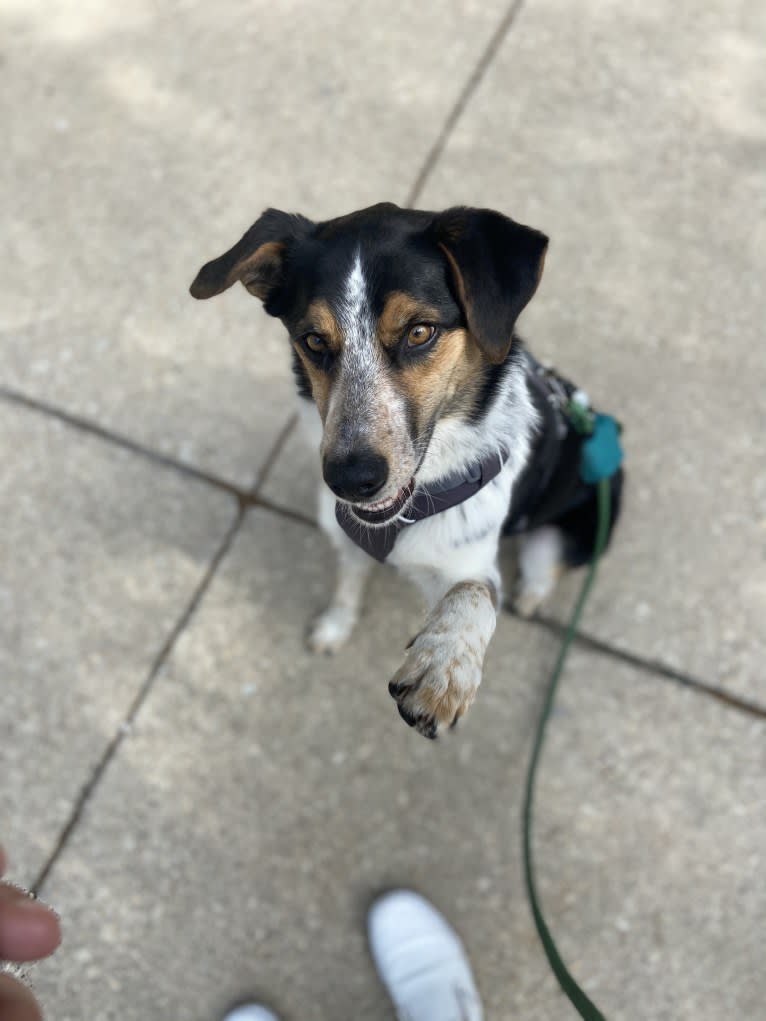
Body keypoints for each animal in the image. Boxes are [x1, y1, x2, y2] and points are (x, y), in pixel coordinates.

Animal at [190, 203, 625, 739]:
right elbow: (347, 587)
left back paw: (530, 596)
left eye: (420, 332)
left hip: (566, 533)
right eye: (313, 341)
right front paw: (334, 627)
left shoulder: (466, 561)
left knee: (544, 567)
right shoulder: (347, 541)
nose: (351, 479)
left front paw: (443, 669)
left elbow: (473, 594)